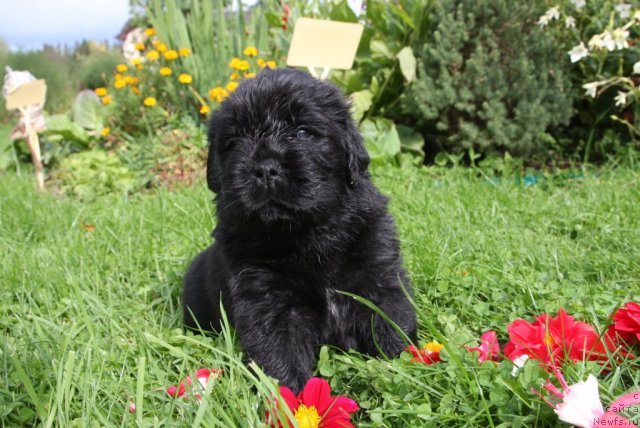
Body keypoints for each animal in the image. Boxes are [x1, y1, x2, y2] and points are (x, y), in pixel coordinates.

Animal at [182, 68, 418, 392]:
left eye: (303, 132)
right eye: (234, 142)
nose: (265, 169)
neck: (306, 234)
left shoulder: (379, 278)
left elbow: (391, 326)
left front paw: (406, 375)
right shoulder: (268, 302)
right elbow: (279, 356)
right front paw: (287, 399)